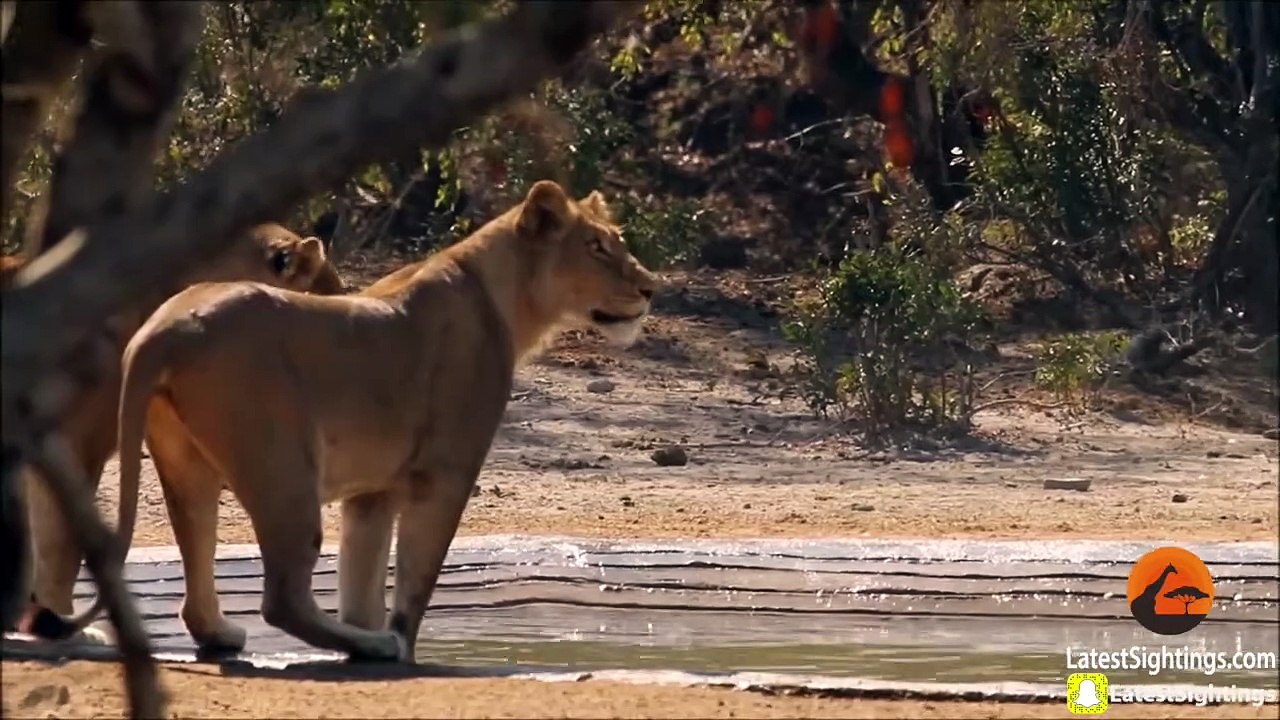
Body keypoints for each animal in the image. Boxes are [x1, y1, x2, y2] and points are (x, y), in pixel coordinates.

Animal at [92, 180, 659, 660]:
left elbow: (362, 580)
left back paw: (234, 635)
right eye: (596, 247)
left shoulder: (372, 492)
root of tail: (164, 330)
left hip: (189, 469)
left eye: (616, 242)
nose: (651, 287)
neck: (505, 296)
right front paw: (401, 645)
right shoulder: (445, 472)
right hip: (285, 470)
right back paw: (376, 646)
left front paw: (367, 633)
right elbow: (416, 576)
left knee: (199, 585)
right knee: (281, 598)